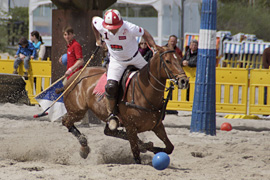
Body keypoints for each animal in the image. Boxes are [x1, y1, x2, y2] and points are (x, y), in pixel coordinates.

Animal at [60, 45, 190, 163]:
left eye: (179, 59)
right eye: (167, 61)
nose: (184, 81)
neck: (144, 92)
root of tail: (73, 76)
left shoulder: (157, 125)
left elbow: (169, 148)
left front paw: (151, 147)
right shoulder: (131, 127)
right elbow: (136, 155)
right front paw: (145, 147)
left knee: (109, 131)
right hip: (77, 111)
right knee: (66, 121)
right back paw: (84, 147)